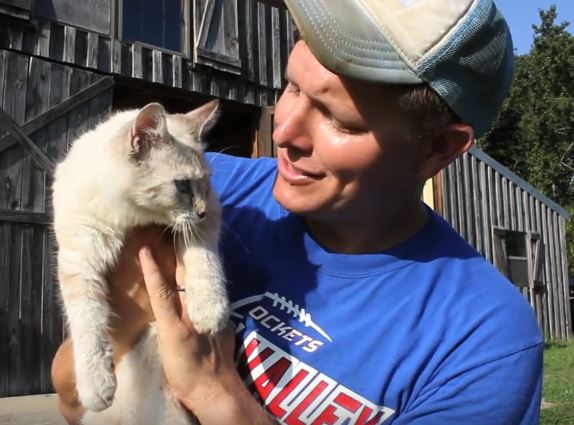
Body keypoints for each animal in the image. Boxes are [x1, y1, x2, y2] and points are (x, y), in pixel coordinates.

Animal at [51, 100, 227, 424]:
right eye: (182, 186)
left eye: (205, 184)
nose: (200, 212)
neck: (132, 217)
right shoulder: (79, 258)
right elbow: (88, 321)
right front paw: (97, 386)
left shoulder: (209, 217)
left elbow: (204, 261)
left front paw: (209, 312)